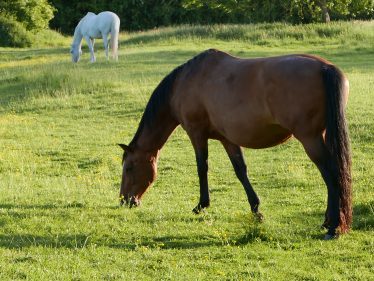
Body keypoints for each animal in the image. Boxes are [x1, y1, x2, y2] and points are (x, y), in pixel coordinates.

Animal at [118, 48, 352, 238]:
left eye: (129, 168)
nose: (125, 200)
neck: (187, 82)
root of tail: (325, 67)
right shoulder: (227, 139)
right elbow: (240, 170)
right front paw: (256, 210)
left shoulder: (197, 134)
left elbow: (202, 167)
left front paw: (201, 205)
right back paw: (327, 222)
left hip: (310, 139)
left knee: (332, 174)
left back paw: (332, 227)